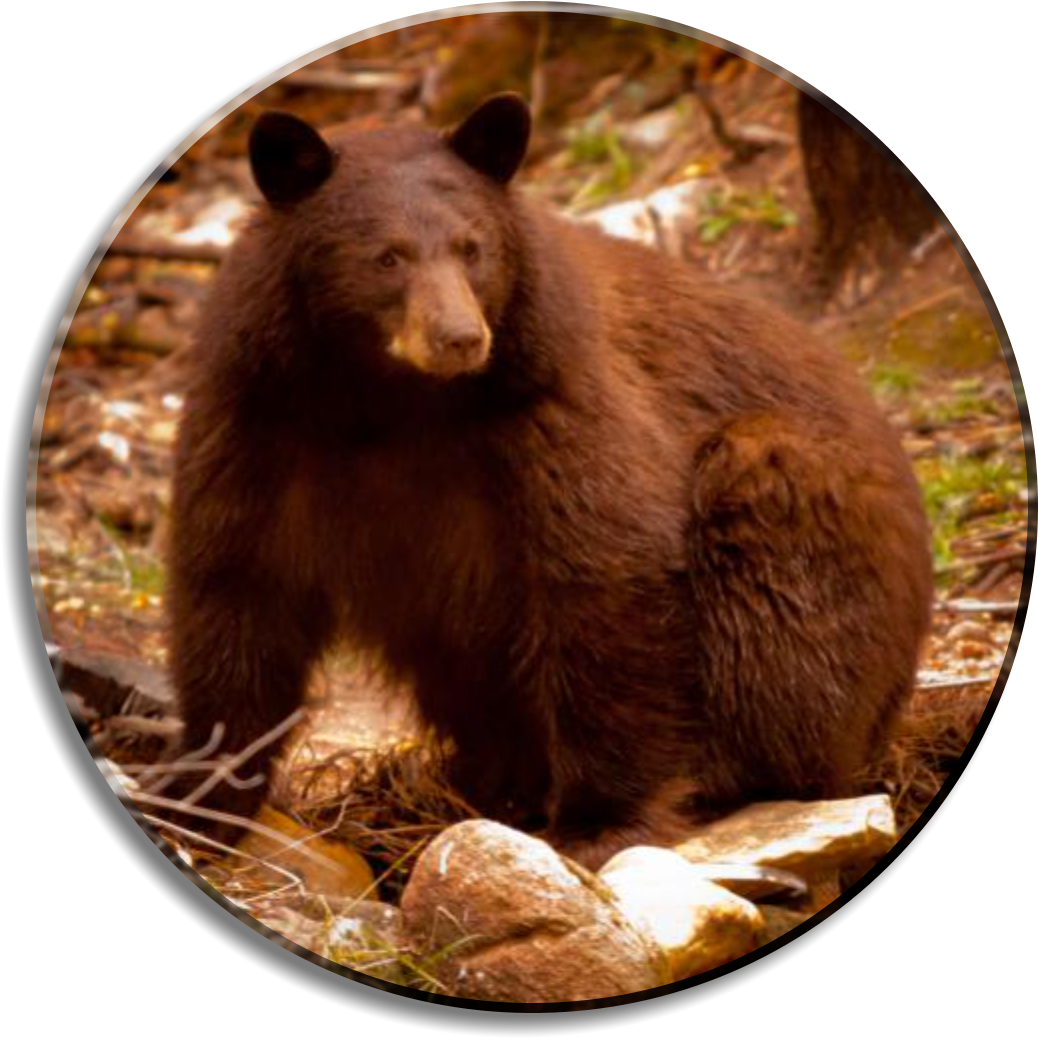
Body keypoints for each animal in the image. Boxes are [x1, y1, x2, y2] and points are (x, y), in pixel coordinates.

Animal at [155, 93, 932, 871]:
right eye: (386, 257)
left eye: (472, 248)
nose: (460, 337)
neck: (391, 400)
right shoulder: (260, 415)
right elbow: (238, 588)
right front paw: (202, 793)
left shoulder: (551, 402)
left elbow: (604, 573)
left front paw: (601, 820)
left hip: (793, 499)